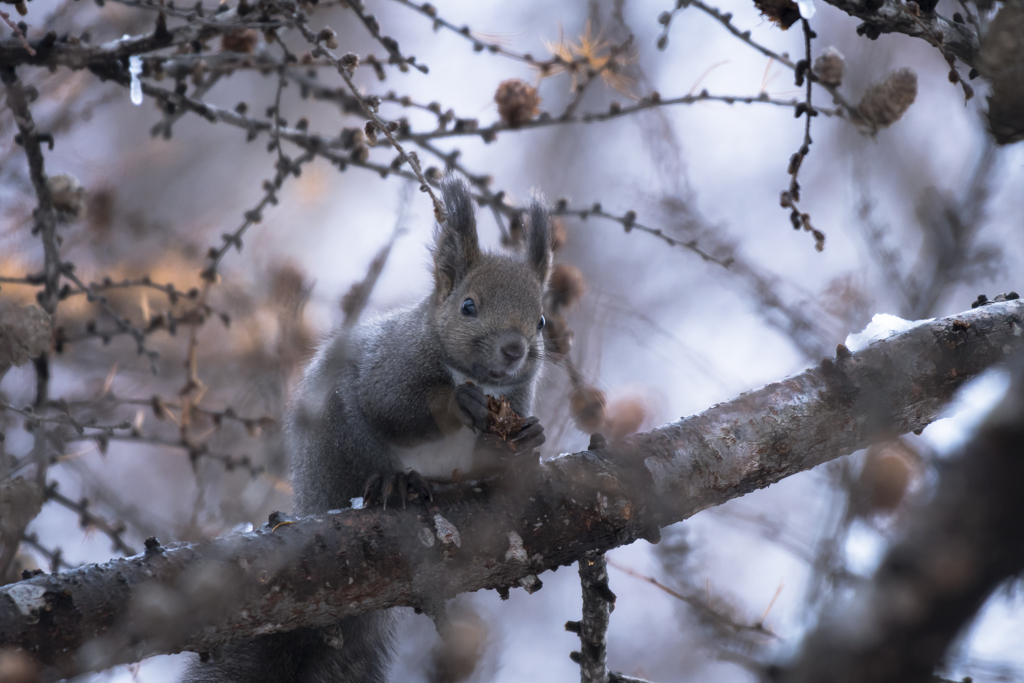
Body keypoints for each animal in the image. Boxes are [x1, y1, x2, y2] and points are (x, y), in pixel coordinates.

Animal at [183, 174, 552, 679]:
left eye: (542, 320)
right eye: (468, 306)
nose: (515, 349)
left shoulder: (515, 396)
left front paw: (528, 439)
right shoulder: (391, 367)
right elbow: (394, 407)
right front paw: (459, 402)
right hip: (341, 442)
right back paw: (396, 483)